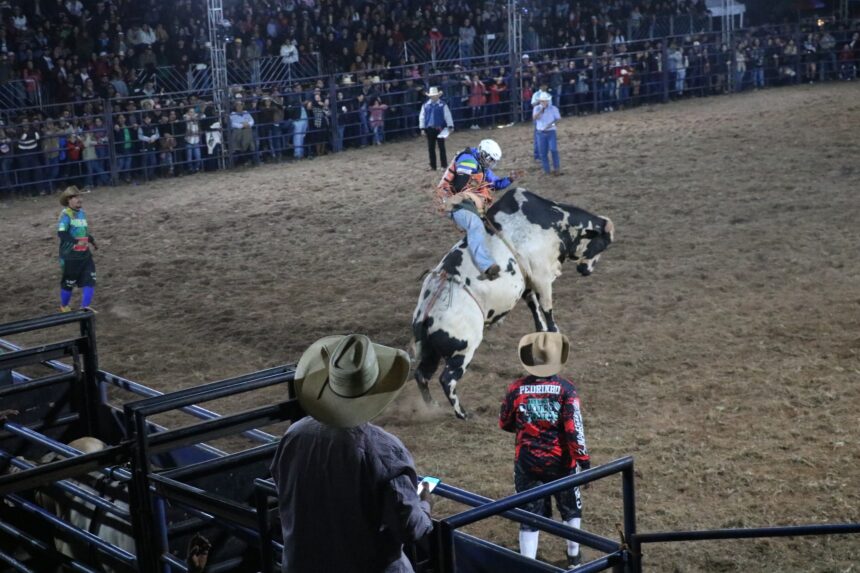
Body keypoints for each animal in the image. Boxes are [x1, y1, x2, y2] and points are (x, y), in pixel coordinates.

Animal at [410, 188, 612, 416]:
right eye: (602, 243)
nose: (586, 270)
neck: (552, 220)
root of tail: (426, 312)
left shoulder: (527, 281)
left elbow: (534, 306)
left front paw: (541, 334)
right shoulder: (542, 276)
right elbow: (547, 307)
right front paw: (555, 335)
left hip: (432, 351)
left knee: (421, 375)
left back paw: (432, 406)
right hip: (463, 349)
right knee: (447, 379)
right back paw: (463, 414)